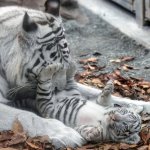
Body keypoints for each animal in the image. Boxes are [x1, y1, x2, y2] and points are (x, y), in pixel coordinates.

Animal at [0, 0, 149, 148]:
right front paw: (67, 133)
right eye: (55, 70)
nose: (61, 89)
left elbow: (93, 92)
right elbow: (24, 115)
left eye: (64, 69)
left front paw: (140, 104)